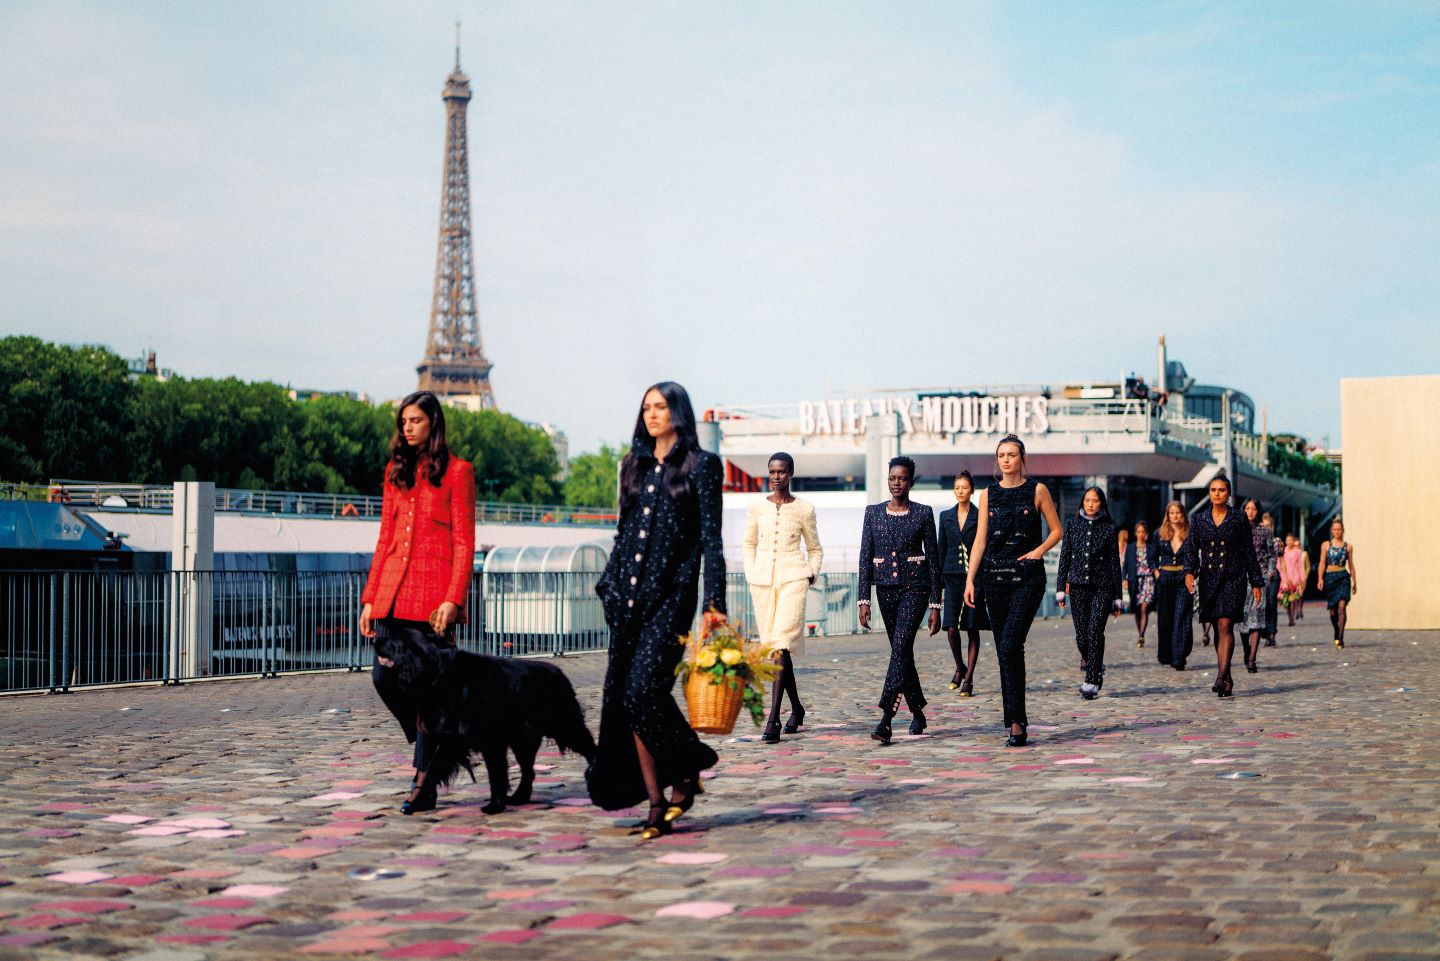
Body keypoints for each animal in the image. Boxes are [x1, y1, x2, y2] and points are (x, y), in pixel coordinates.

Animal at [377, 631, 596, 818]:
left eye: (390, 640)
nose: (374, 640)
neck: (439, 672)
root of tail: (559, 672)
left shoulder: (489, 740)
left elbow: (495, 774)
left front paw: (495, 806)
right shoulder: (452, 739)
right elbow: (432, 770)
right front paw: (417, 801)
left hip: (566, 727)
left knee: (590, 748)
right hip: (523, 741)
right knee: (528, 771)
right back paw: (519, 798)